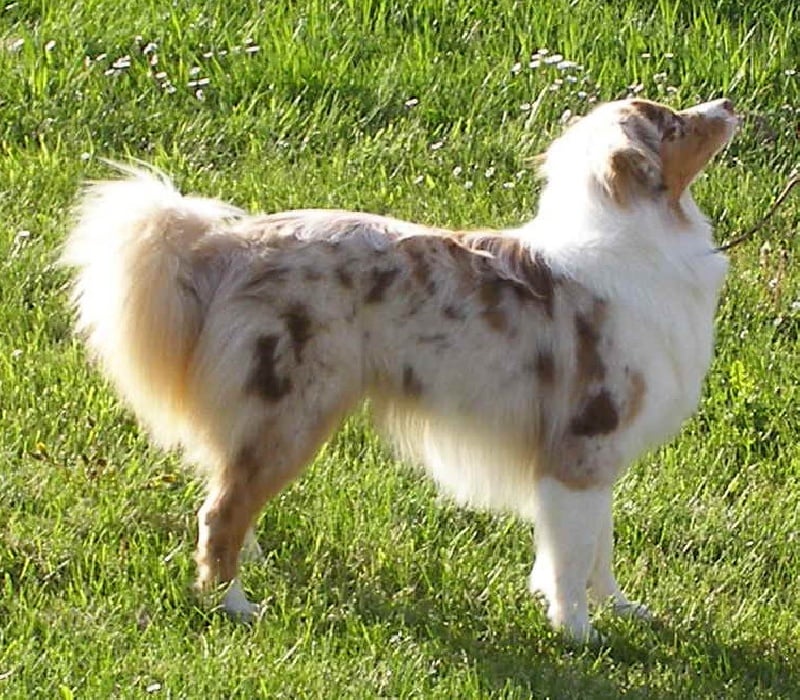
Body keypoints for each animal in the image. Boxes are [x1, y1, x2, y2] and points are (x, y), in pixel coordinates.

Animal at [62, 97, 737, 641]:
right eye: (673, 125)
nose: (727, 104)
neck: (640, 242)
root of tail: (228, 247)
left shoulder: (601, 457)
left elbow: (601, 546)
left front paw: (623, 611)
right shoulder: (581, 445)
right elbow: (570, 556)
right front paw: (578, 633)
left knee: (228, 491)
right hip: (294, 414)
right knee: (219, 512)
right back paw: (234, 606)